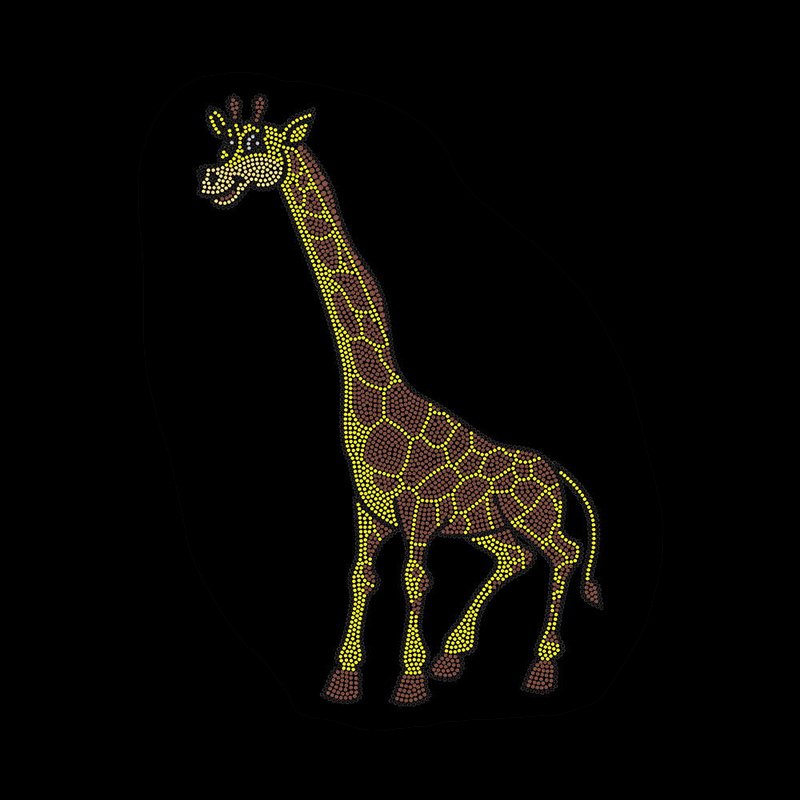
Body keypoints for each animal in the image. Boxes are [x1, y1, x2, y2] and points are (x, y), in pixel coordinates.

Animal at [196, 94, 604, 706]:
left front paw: (409, 683)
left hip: (531, 518)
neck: (374, 391)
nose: (209, 178)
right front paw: (344, 680)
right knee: (518, 560)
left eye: (259, 147)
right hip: (489, 528)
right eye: (224, 145)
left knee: (564, 555)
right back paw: (452, 658)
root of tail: (557, 472)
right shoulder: (369, 512)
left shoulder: (418, 513)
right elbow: (361, 578)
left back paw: (539, 670)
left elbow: (415, 581)